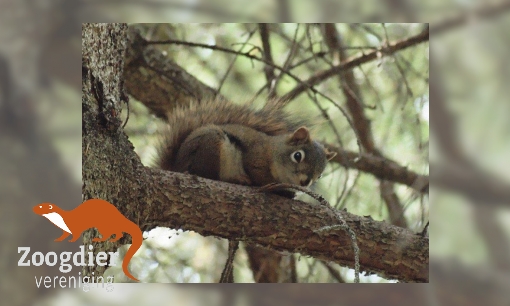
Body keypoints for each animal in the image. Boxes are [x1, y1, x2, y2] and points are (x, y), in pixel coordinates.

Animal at [154, 97, 338, 282]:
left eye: (320, 174)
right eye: (298, 156)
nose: (305, 182)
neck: (272, 152)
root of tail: (176, 166)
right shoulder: (254, 159)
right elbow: (260, 178)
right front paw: (280, 191)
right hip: (211, 145)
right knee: (205, 174)